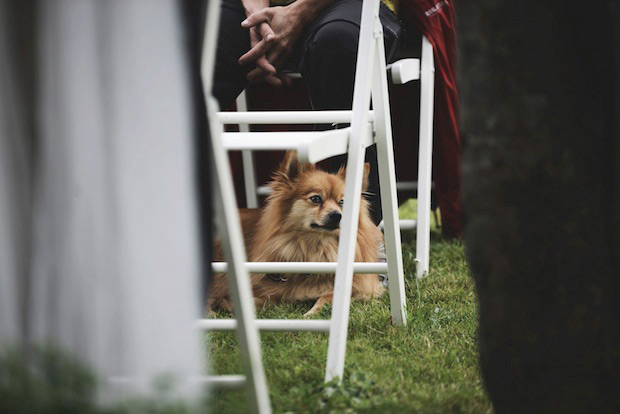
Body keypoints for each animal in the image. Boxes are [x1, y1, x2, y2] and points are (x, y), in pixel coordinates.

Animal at [208, 152, 382, 316]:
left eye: (342, 202)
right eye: (316, 199)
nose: (337, 215)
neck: (317, 250)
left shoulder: (363, 287)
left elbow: (328, 296)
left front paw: (312, 313)